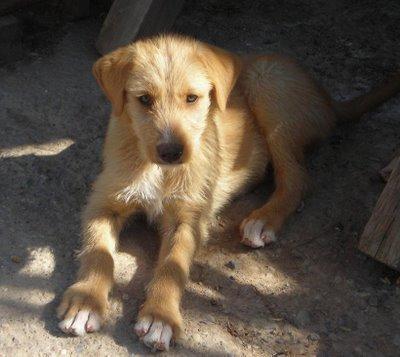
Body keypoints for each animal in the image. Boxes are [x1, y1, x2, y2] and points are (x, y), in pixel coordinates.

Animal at [57, 34, 400, 350]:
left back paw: (264, 219)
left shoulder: (190, 219)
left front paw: (160, 317)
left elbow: (172, 265)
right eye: (144, 100)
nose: (172, 152)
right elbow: (97, 253)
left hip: (269, 84)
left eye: (192, 98)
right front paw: (86, 300)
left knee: (296, 178)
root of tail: (327, 98)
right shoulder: (103, 203)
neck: (156, 169)